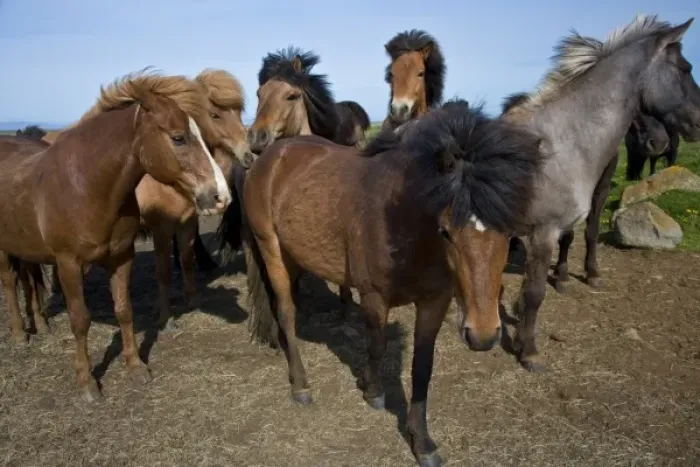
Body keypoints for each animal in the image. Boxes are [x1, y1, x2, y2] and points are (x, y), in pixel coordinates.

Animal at [0, 70, 232, 403]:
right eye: (178, 138)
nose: (221, 197)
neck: (88, 186)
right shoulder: (68, 263)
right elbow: (80, 320)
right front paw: (87, 383)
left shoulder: (122, 257)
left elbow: (124, 310)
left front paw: (135, 367)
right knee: (9, 283)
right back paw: (20, 333)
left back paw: (41, 324)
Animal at [224, 102, 545, 467]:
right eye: (446, 231)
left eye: (510, 232)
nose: (483, 335)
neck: (405, 228)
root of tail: (267, 157)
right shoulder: (374, 297)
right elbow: (376, 345)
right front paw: (373, 391)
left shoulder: (434, 303)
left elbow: (421, 368)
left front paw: (422, 441)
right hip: (272, 250)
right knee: (287, 312)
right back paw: (301, 385)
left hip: (293, 257)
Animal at [501, 14, 700, 373]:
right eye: (685, 68)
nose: (699, 123)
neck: (563, 142)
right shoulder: (544, 232)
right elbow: (535, 293)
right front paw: (530, 353)